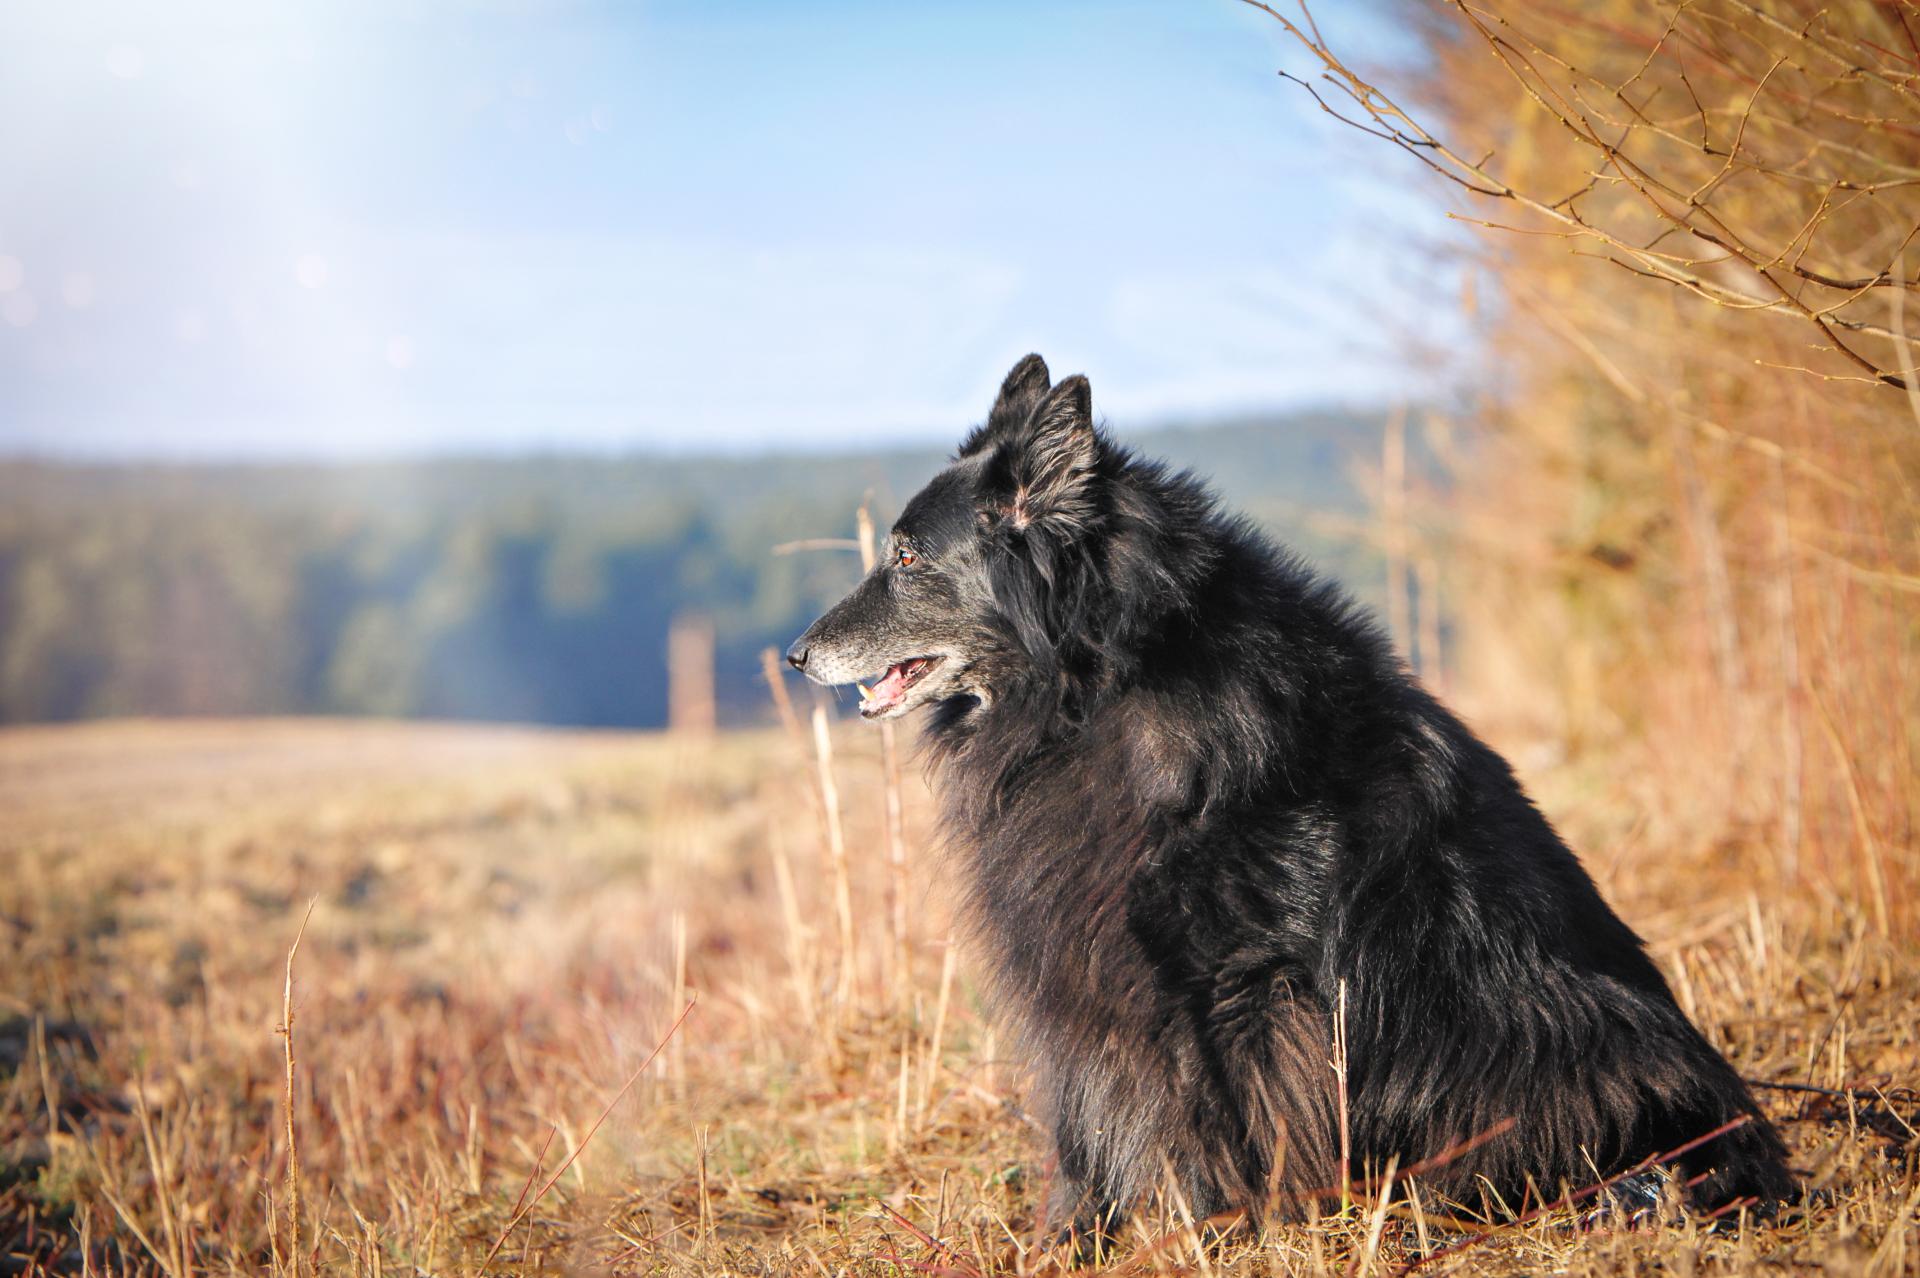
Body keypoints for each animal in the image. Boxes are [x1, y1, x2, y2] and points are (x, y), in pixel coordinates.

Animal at [783, 353, 1797, 1228]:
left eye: (909, 559)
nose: (795, 656)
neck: (1102, 685)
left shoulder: (1245, 982)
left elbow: (1231, 1115)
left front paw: (1237, 1230)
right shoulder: (1083, 967)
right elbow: (1085, 1121)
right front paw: (1074, 1238)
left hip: (1564, 1030)